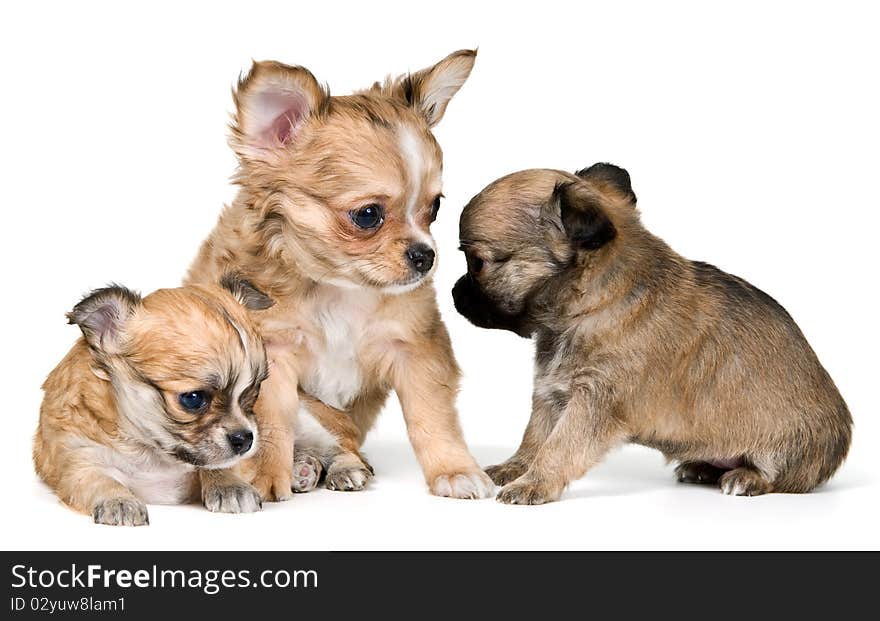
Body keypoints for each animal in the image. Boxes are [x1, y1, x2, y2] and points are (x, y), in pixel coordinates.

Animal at [35, 276, 272, 524]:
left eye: (254, 391)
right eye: (193, 399)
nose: (245, 438)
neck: (150, 452)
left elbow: (219, 464)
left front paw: (231, 486)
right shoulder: (80, 458)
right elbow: (99, 480)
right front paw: (119, 501)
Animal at [187, 50, 496, 502]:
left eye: (435, 207)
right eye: (368, 215)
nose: (426, 255)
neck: (339, 289)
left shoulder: (416, 347)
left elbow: (432, 417)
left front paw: (455, 470)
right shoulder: (275, 353)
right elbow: (273, 423)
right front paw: (264, 478)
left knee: (346, 444)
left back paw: (339, 468)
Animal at [454, 163, 852, 504]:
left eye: (477, 263)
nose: (455, 293)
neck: (591, 304)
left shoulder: (593, 402)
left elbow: (560, 446)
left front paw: (534, 483)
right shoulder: (551, 395)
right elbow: (535, 437)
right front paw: (515, 468)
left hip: (784, 449)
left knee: (777, 475)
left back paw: (746, 477)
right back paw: (702, 467)